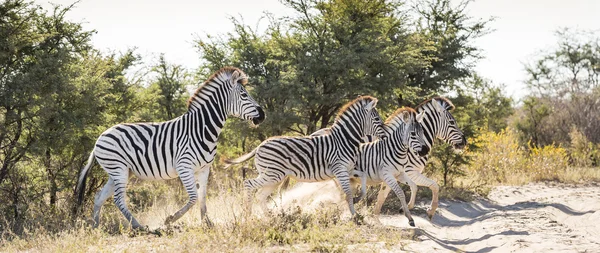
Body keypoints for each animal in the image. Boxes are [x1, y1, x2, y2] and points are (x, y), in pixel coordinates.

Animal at [74, 66, 264, 228]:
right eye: (244, 95)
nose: (262, 115)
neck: (201, 128)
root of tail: (100, 137)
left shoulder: (204, 169)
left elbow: (202, 197)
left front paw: (207, 223)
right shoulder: (184, 166)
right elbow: (193, 197)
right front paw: (170, 219)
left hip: (119, 172)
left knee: (99, 197)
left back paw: (96, 227)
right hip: (118, 168)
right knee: (118, 199)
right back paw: (138, 226)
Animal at [223, 96, 392, 218]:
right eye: (377, 119)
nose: (386, 134)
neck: (344, 140)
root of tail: (260, 145)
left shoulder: (349, 170)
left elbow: (360, 182)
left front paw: (357, 202)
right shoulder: (340, 169)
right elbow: (347, 192)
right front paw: (354, 216)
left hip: (274, 177)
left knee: (260, 195)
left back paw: (270, 217)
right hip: (273, 174)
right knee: (248, 184)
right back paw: (248, 216)